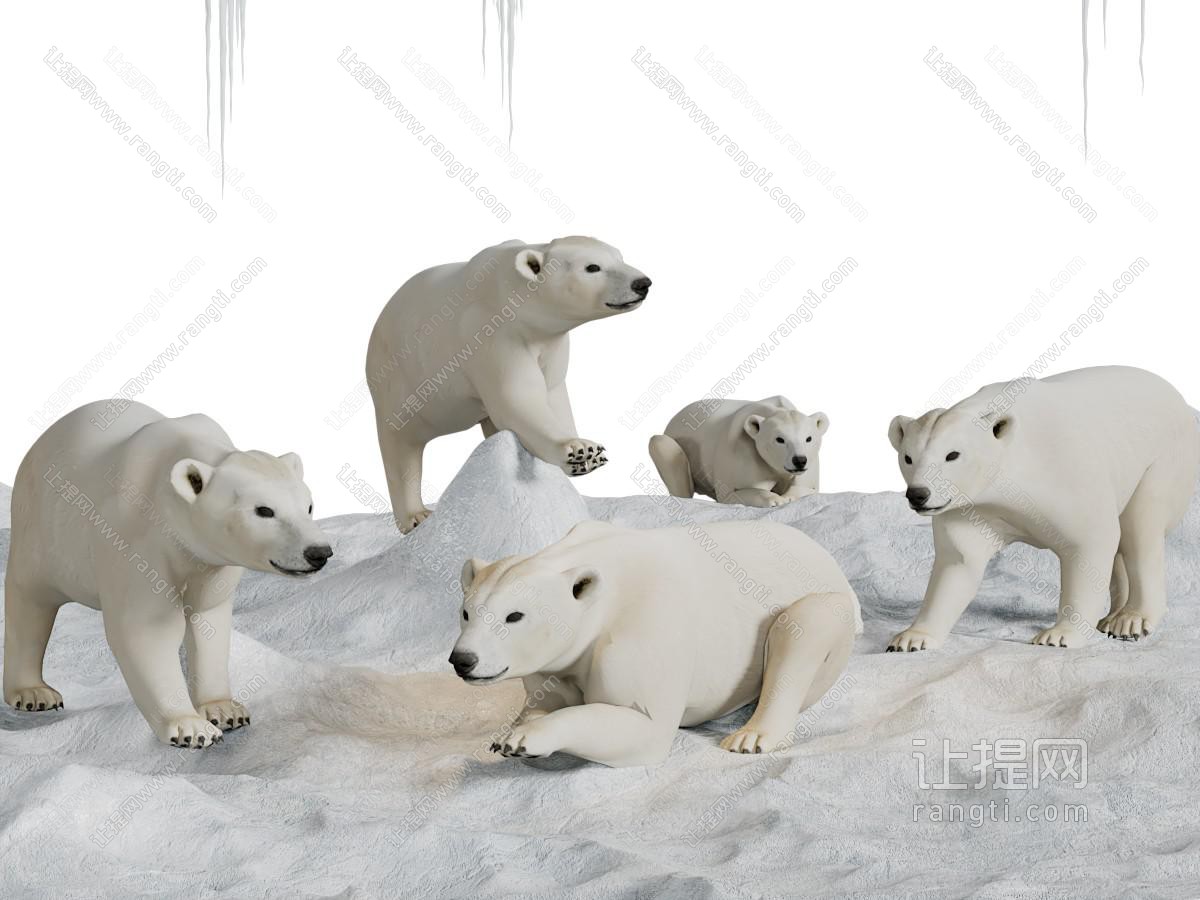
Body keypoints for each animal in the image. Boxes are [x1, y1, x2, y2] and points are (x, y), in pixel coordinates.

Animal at [3, 400, 333, 747]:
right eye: (264, 510)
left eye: (309, 506)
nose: (319, 552)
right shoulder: (136, 538)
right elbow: (148, 628)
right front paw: (191, 728)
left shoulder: (211, 560)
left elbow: (208, 621)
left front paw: (226, 711)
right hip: (43, 530)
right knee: (29, 600)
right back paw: (34, 692)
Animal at [366, 236, 651, 533]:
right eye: (592, 267)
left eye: (619, 257)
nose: (642, 283)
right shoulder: (491, 335)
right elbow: (518, 399)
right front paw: (580, 451)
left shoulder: (551, 342)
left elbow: (553, 395)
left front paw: (585, 455)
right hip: (399, 382)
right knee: (400, 446)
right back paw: (416, 515)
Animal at [448, 519, 860, 766]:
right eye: (466, 612)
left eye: (514, 616)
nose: (463, 660)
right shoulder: (554, 665)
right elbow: (543, 700)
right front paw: (510, 732)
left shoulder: (638, 637)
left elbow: (645, 727)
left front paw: (526, 738)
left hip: (826, 607)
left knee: (801, 624)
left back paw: (750, 736)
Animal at [648, 396, 828, 507]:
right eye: (779, 439)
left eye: (809, 438)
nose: (799, 460)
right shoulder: (742, 453)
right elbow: (733, 493)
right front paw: (775, 500)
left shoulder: (811, 463)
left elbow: (808, 488)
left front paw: (786, 497)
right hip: (674, 443)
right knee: (663, 447)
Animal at [886, 365, 1199, 651]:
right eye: (908, 457)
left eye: (953, 455)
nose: (918, 494)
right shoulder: (969, 506)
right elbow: (959, 563)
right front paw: (911, 638)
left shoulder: (1066, 471)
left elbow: (1090, 541)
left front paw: (1059, 635)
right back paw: (1111, 617)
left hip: (1163, 458)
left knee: (1141, 529)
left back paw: (1131, 620)